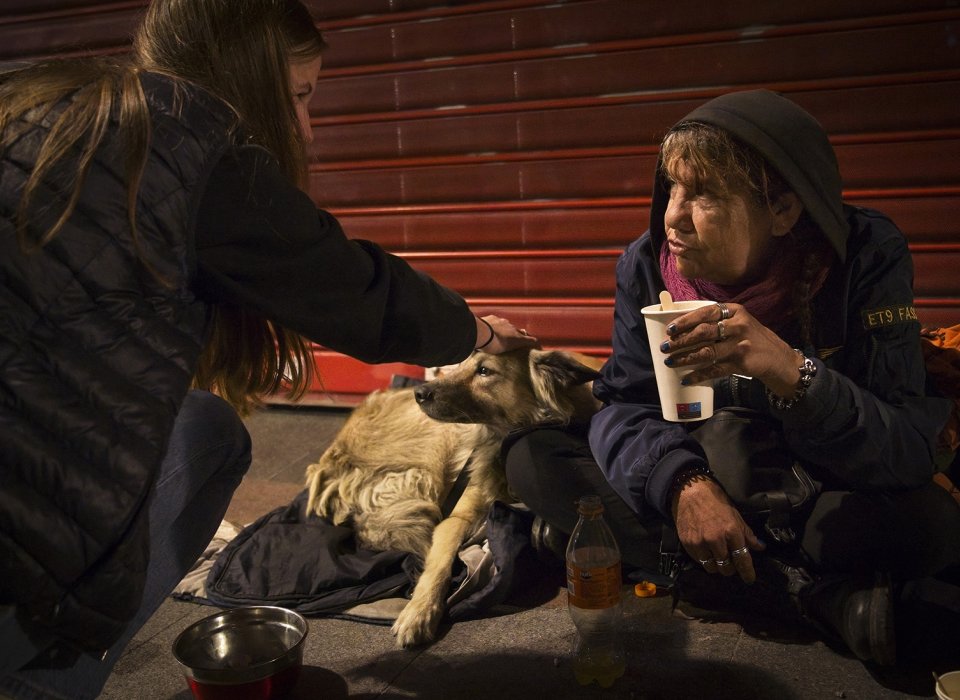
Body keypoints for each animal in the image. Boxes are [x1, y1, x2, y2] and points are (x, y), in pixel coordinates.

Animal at [304, 348, 600, 648]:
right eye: (461, 364)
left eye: (484, 371)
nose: (420, 393)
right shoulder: (456, 517)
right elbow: (438, 564)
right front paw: (419, 612)